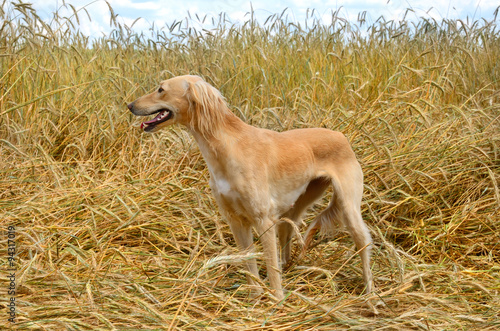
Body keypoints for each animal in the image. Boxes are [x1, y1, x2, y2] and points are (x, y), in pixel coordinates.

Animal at [127, 75, 374, 300]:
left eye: (161, 89)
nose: (130, 105)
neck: (227, 148)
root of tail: (341, 136)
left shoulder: (263, 219)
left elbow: (270, 267)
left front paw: (277, 302)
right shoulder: (236, 221)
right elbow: (249, 265)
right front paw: (255, 299)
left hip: (348, 206)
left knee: (363, 242)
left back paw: (370, 292)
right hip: (297, 204)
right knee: (287, 233)